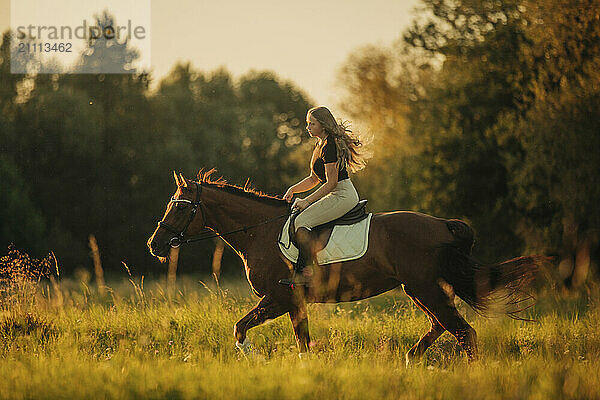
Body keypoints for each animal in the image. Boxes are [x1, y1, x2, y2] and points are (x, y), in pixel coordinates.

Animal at [148, 170, 540, 364]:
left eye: (180, 207)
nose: (155, 245)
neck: (260, 231)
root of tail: (443, 224)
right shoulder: (294, 303)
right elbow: (301, 342)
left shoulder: (279, 298)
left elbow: (240, 329)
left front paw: (252, 358)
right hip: (418, 289)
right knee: (442, 325)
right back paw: (410, 360)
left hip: (423, 288)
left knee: (463, 332)